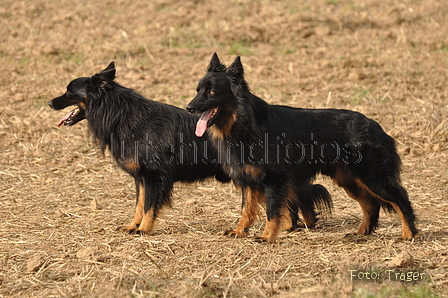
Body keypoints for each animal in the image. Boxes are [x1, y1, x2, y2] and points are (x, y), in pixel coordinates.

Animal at [186, 53, 416, 243]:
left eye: (212, 92)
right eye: (197, 91)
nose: (189, 108)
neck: (244, 122)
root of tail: (376, 126)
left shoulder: (275, 180)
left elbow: (272, 211)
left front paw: (267, 237)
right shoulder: (249, 180)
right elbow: (246, 210)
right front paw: (240, 231)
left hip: (372, 177)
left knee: (401, 200)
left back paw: (408, 234)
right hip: (350, 180)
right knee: (371, 205)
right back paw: (360, 233)